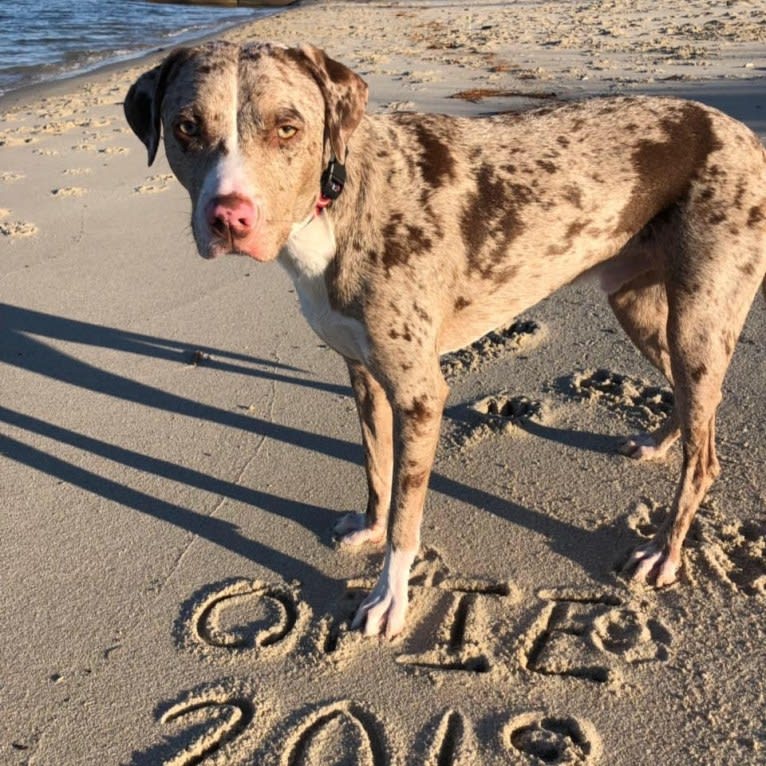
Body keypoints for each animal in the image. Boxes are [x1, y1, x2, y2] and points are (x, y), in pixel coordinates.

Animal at [126, 42, 766, 640]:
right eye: (186, 127)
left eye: (287, 127)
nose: (229, 218)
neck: (341, 200)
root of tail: (744, 135)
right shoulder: (363, 374)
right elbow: (377, 468)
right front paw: (369, 526)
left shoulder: (420, 394)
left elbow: (407, 517)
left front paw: (389, 597)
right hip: (639, 305)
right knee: (697, 406)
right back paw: (660, 442)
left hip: (698, 320)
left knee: (704, 456)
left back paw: (665, 551)